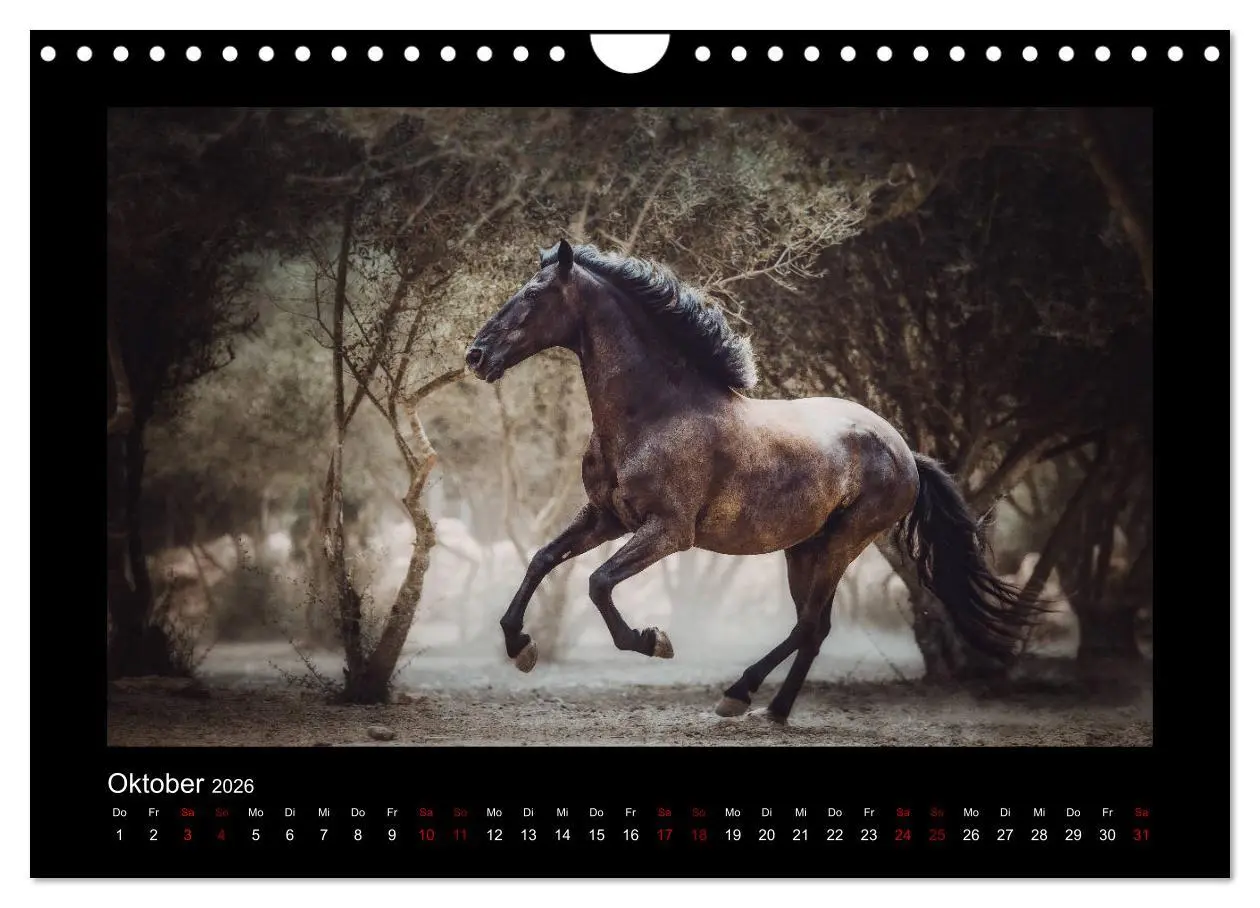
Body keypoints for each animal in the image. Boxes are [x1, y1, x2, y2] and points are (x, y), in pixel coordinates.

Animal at [464, 239, 1036, 724]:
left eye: (533, 294)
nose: (476, 356)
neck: (655, 412)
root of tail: (905, 453)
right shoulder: (605, 517)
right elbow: (542, 559)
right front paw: (520, 647)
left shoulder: (668, 532)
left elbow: (598, 582)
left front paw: (653, 640)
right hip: (805, 548)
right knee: (816, 629)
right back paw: (773, 710)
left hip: (843, 544)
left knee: (807, 626)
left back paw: (739, 693)